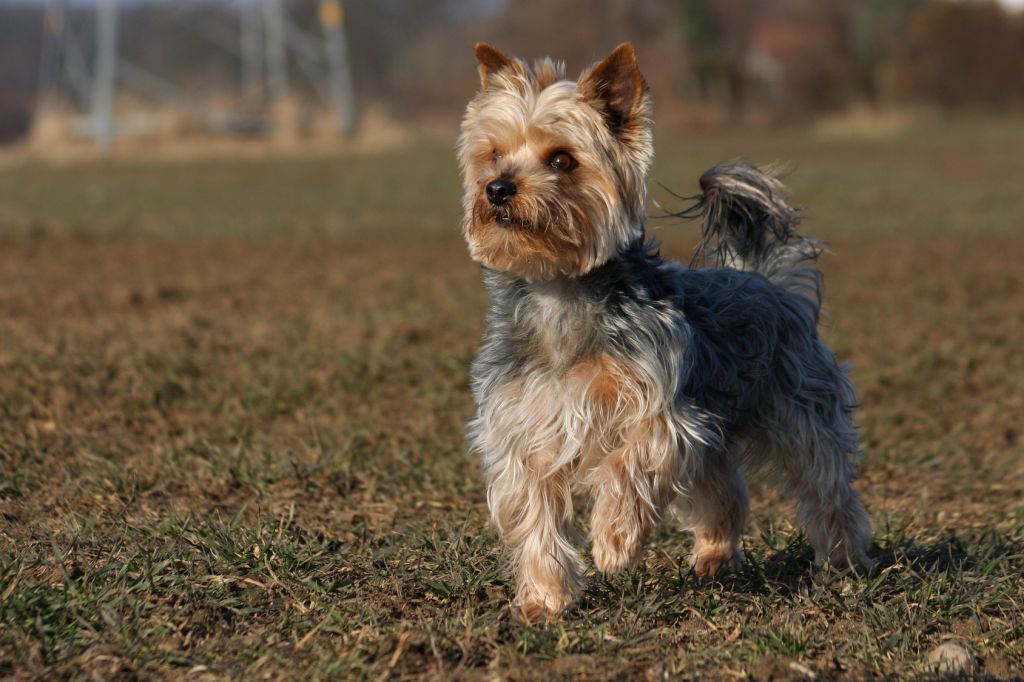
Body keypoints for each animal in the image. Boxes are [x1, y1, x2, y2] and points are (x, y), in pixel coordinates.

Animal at [460, 41, 868, 614]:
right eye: (494, 154)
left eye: (561, 159)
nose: (497, 189)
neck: (558, 290)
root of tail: (767, 281)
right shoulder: (521, 430)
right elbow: (533, 514)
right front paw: (544, 600)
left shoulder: (668, 413)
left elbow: (629, 463)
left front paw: (612, 540)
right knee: (724, 490)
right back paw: (715, 556)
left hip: (802, 412)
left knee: (827, 487)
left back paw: (847, 562)